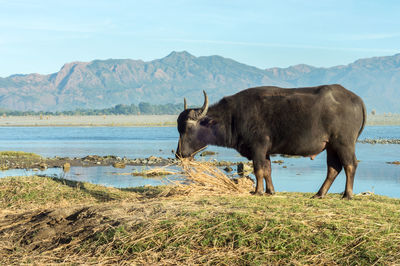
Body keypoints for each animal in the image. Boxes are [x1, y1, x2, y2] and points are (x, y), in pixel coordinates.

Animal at [177, 84, 368, 198]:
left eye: (186, 128)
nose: (179, 153)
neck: (233, 117)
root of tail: (357, 99)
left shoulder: (258, 148)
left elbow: (259, 170)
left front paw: (258, 191)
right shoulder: (266, 151)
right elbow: (268, 170)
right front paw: (270, 191)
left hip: (344, 143)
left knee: (350, 165)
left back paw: (347, 194)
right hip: (330, 146)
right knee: (333, 168)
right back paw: (319, 194)